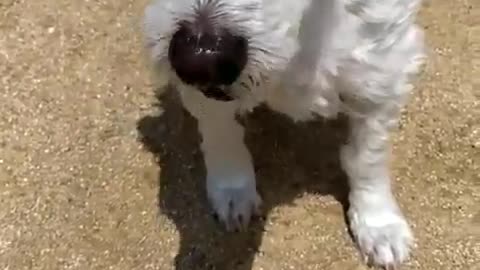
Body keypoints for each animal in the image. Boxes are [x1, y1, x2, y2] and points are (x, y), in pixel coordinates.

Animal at [142, 0, 424, 268]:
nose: (201, 60)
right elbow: (221, 133)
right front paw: (233, 191)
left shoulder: (383, 64)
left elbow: (366, 157)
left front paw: (378, 224)